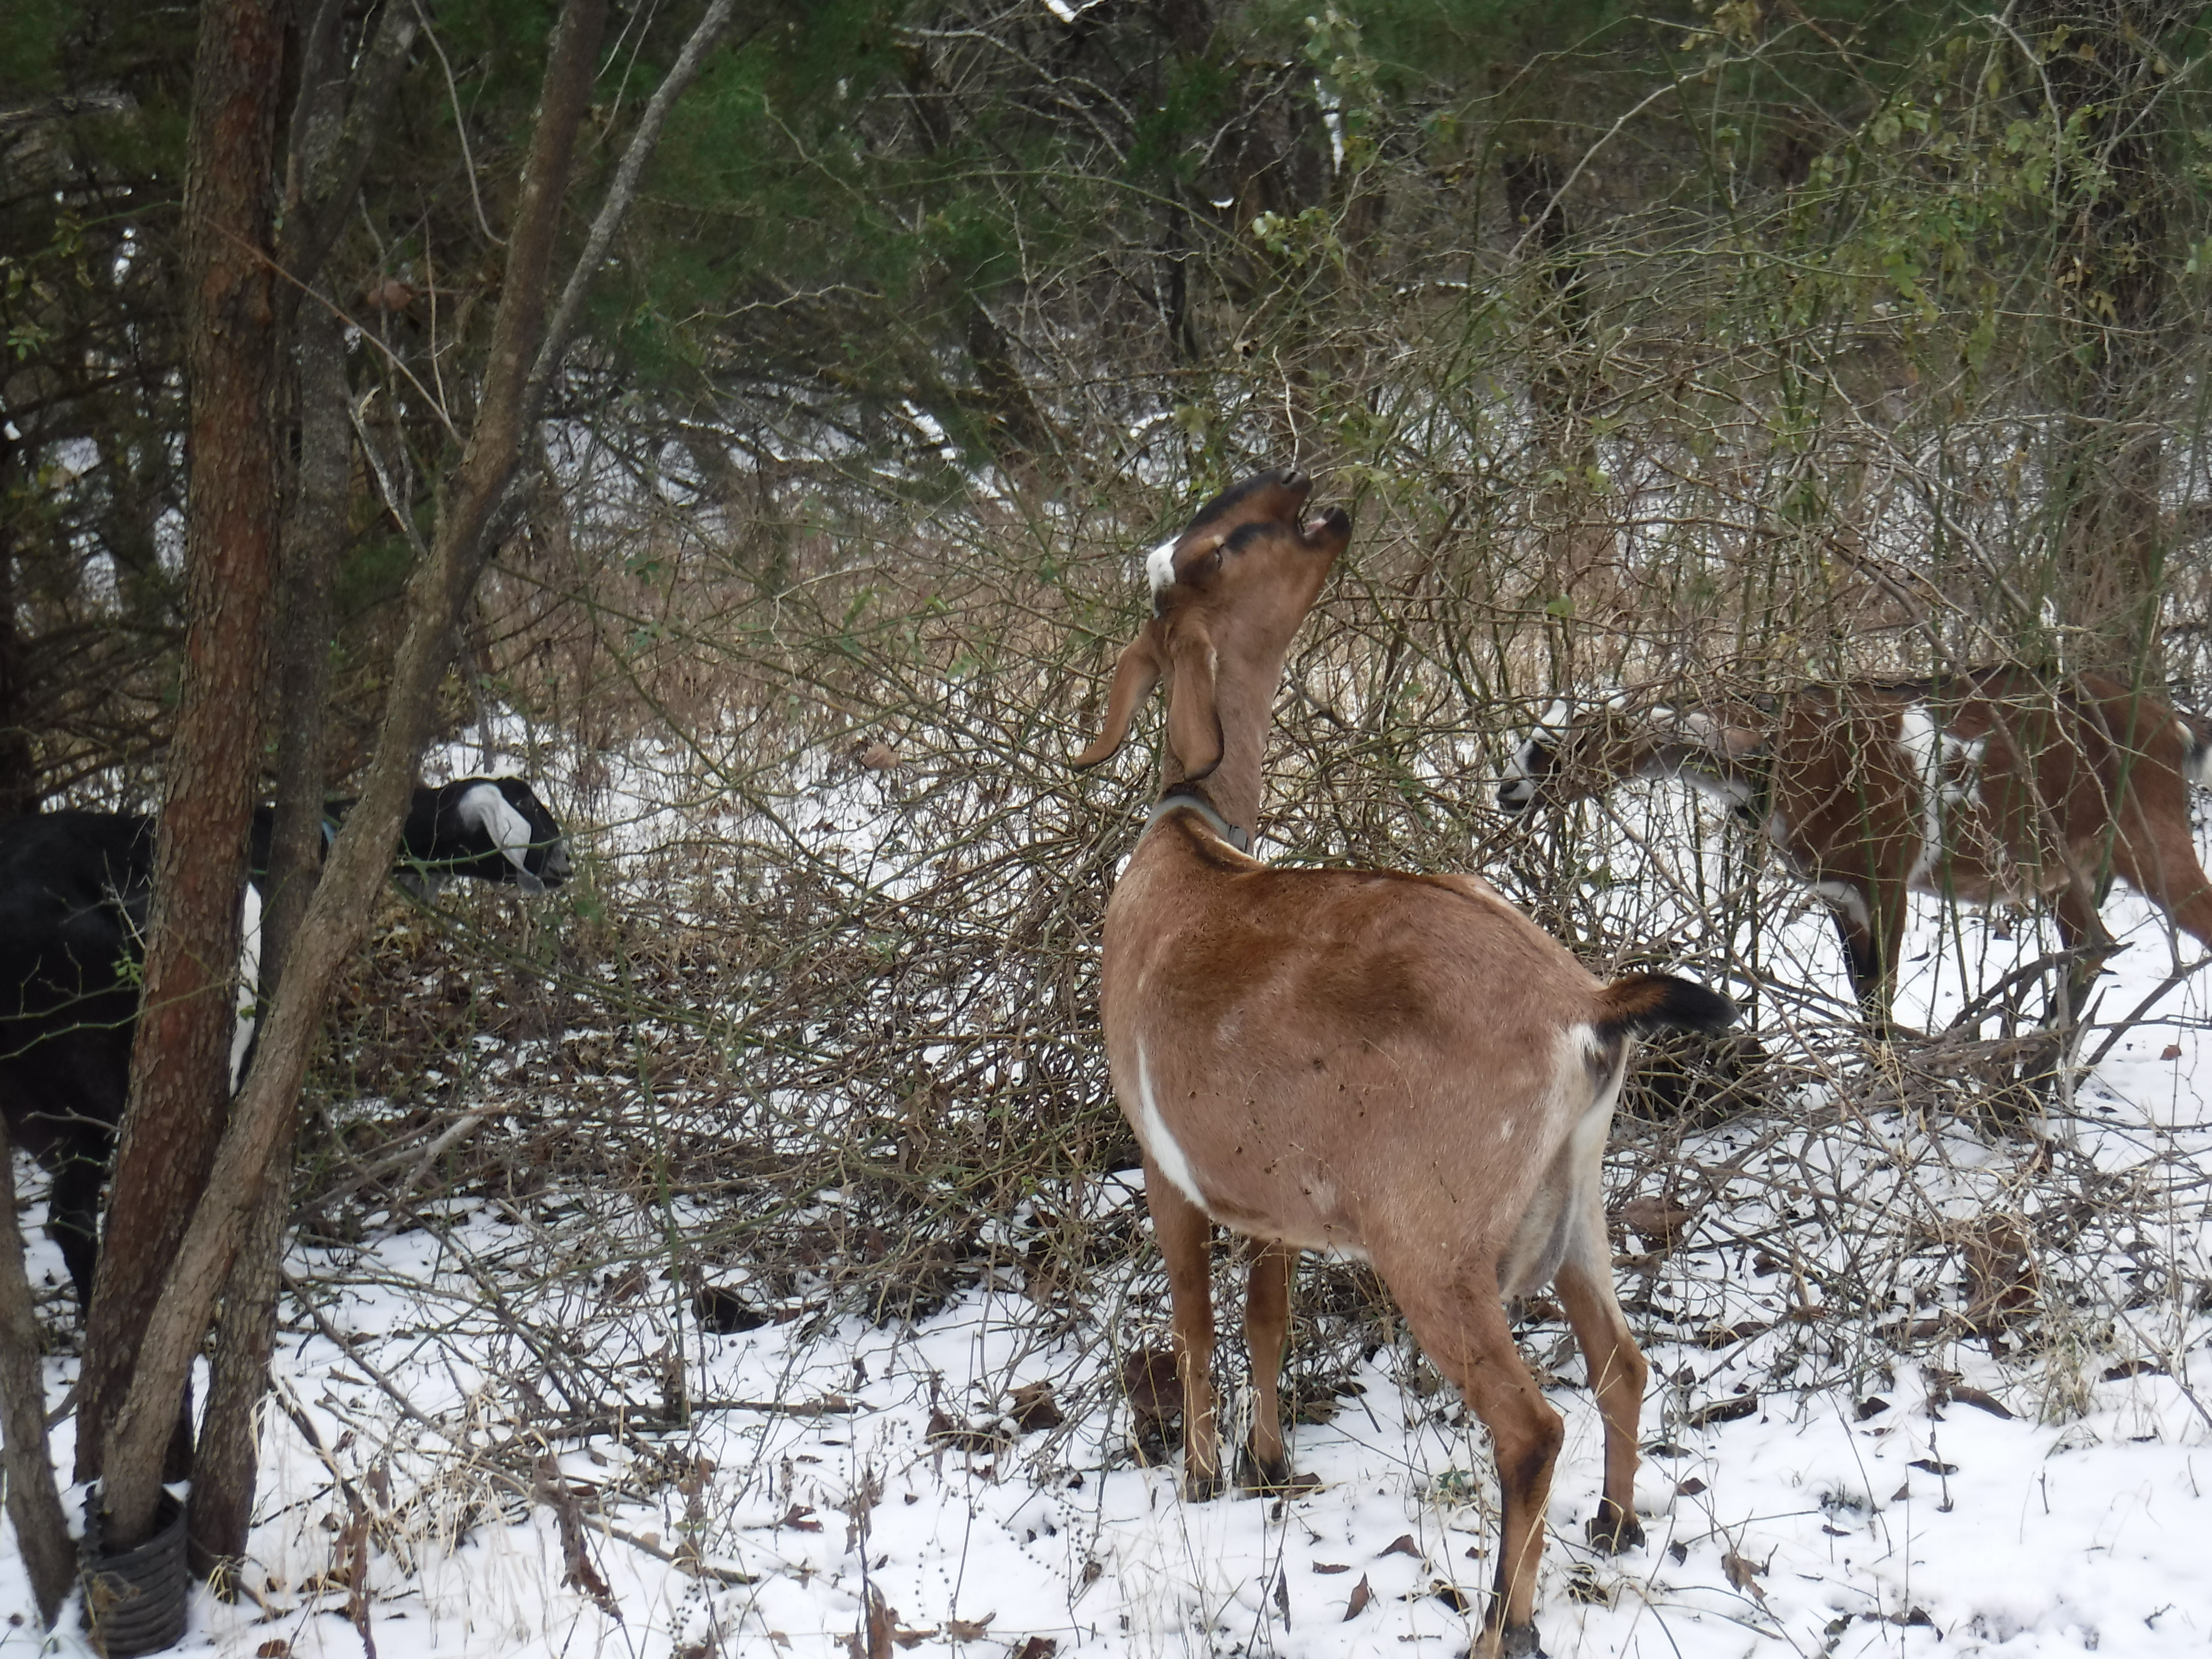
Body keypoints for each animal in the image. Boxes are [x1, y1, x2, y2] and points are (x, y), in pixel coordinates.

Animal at [1070, 471, 1725, 1659]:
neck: (1186, 847)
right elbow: (1265, 1317)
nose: (1300, 488)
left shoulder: (1166, 1166)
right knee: (1622, 1361)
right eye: (1223, 545)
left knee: (1531, 1425)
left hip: (1434, 1249)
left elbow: (1192, 1317)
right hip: (1579, 1212)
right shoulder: (1271, 1197)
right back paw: (1615, 1526)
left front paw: (1201, 1476)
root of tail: (1585, 1007)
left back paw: (1503, 1626)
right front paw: (1267, 1464)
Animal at [1495, 668, 2212, 1035]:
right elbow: (1866, 998)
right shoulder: (1837, 891)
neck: (1779, 753)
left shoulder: (1887, 878)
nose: (1507, 792)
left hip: (2150, 837)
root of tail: (2175, 722)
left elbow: (1882, 1002)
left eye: (1560, 742)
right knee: (2093, 946)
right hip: (2061, 866)